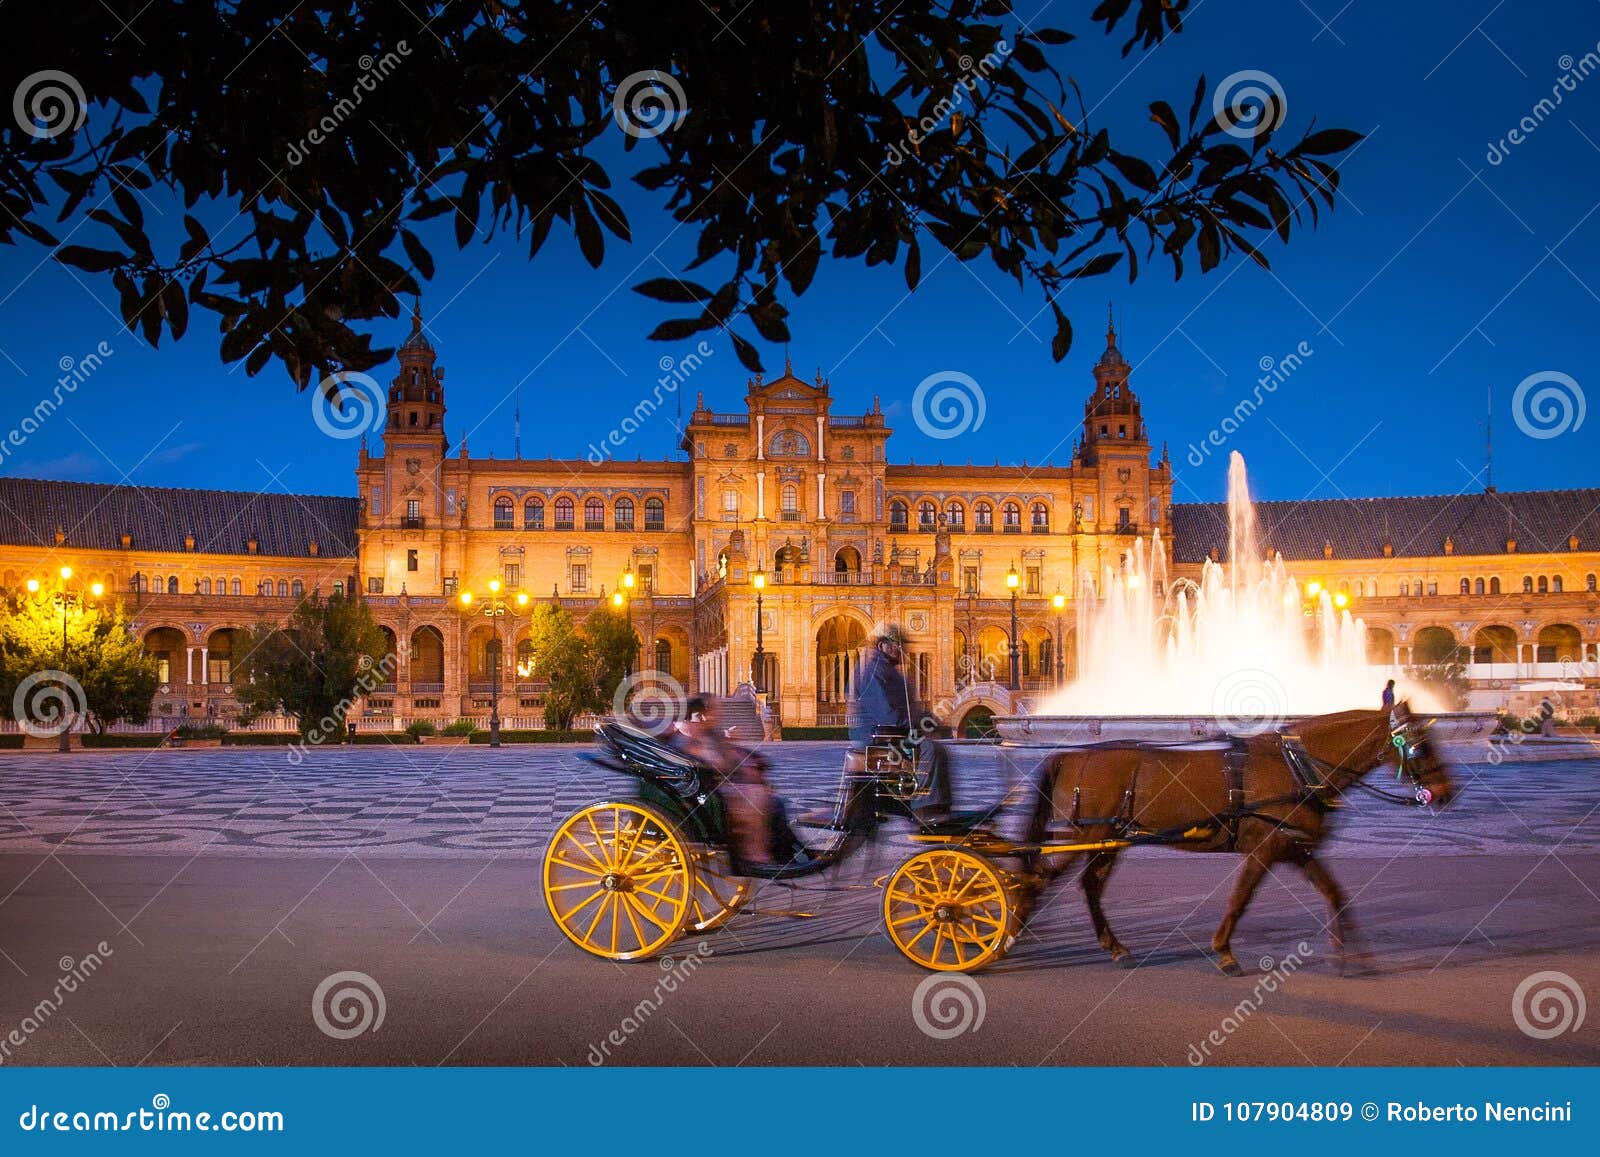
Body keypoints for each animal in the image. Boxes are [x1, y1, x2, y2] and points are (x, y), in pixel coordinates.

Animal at [1017, 707, 1459, 979]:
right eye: (1420, 745)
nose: (1446, 792)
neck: (1297, 766)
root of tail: (1072, 755)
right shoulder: (1265, 847)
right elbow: (1240, 898)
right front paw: (1225, 952)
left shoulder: (1295, 848)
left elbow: (1334, 893)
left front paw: (1351, 955)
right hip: (1089, 835)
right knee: (1042, 877)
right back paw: (1017, 927)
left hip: (1109, 839)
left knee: (1085, 884)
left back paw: (1112, 946)